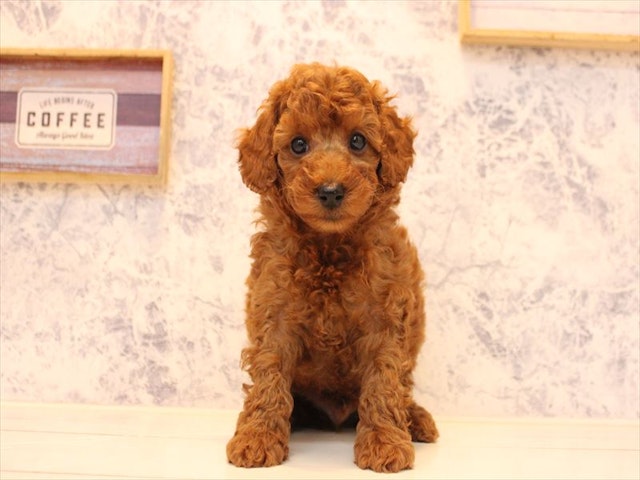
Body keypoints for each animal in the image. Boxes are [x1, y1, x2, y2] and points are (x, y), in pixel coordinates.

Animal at [226, 63, 438, 473]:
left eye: (357, 141)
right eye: (298, 145)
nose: (330, 191)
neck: (328, 248)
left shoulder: (385, 318)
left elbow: (383, 381)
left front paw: (384, 442)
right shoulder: (273, 312)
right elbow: (268, 376)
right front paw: (258, 436)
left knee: (403, 389)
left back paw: (415, 419)